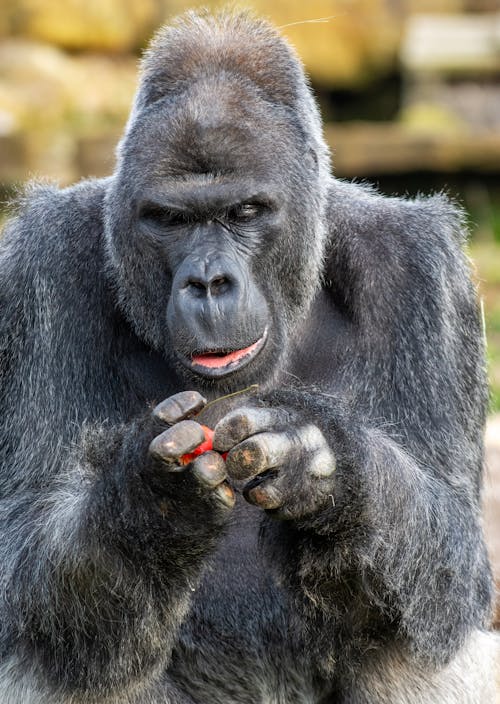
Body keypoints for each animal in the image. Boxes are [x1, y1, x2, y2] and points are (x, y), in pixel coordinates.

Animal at [0, 6, 498, 704]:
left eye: (244, 211)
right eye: (170, 219)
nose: (209, 282)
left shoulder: (421, 267)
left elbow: (454, 563)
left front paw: (327, 467)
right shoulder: (38, 266)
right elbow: (26, 553)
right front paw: (152, 506)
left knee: (412, 641)